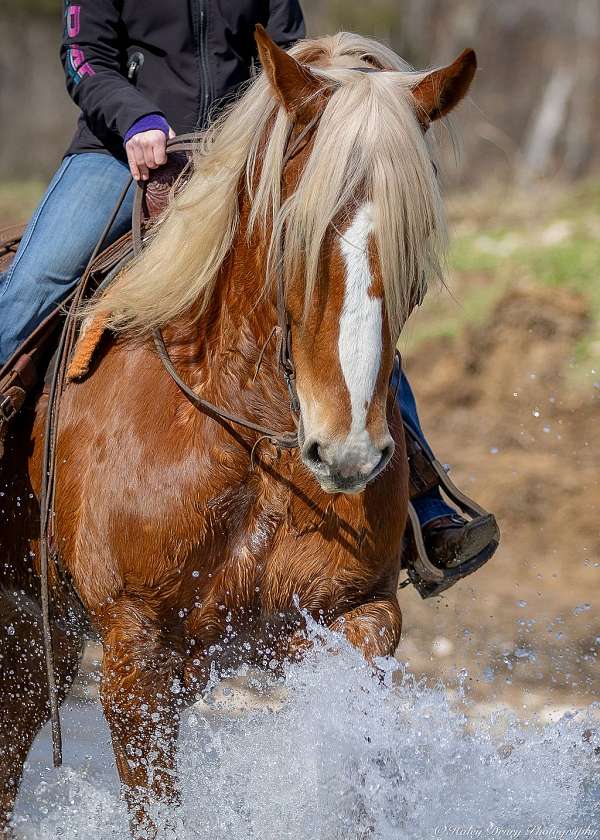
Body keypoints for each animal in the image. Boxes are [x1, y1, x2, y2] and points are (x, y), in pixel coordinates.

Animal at [0, 27, 478, 840]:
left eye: (415, 245)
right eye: (294, 231)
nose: (346, 451)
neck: (252, 439)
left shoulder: (353, 617)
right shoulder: (136, 650)